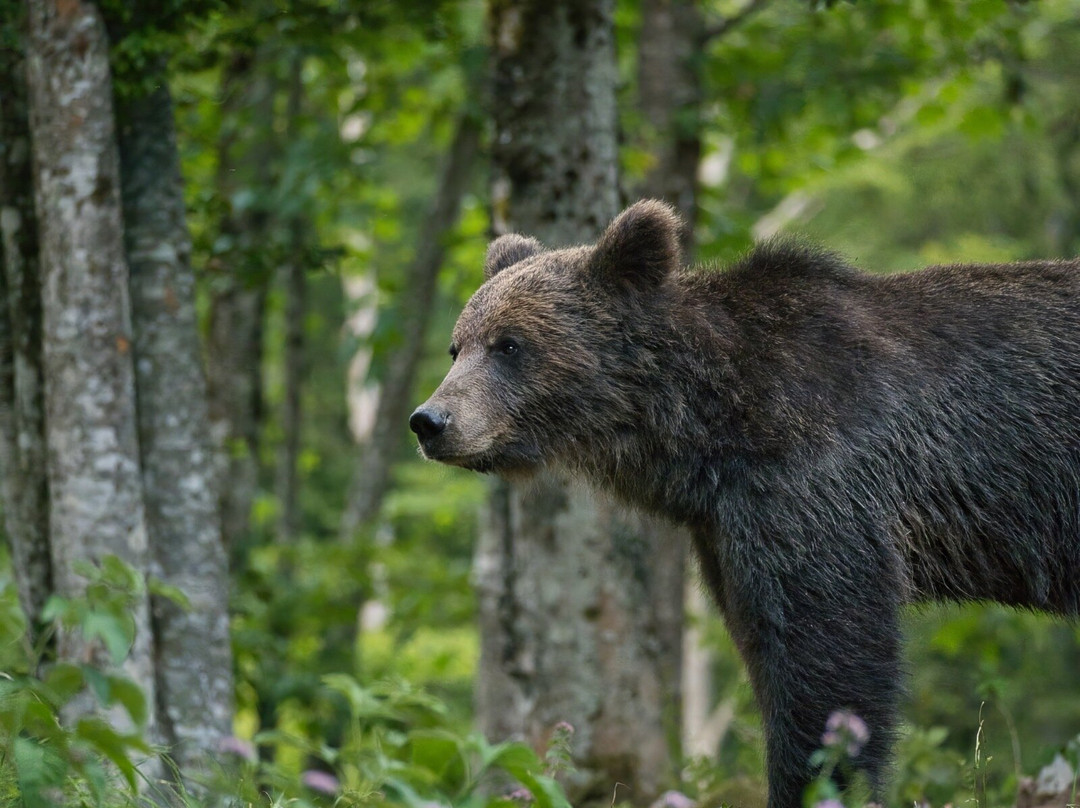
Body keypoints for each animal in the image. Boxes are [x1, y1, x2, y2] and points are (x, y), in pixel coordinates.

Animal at [410, 199, 1080, 808]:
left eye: (510, 344)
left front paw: (820, 782)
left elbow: (830, 658)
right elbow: (764, 639)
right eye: (457, 346)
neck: (711, 428)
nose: (430, 421)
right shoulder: (726, 528)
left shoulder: (820, 481)